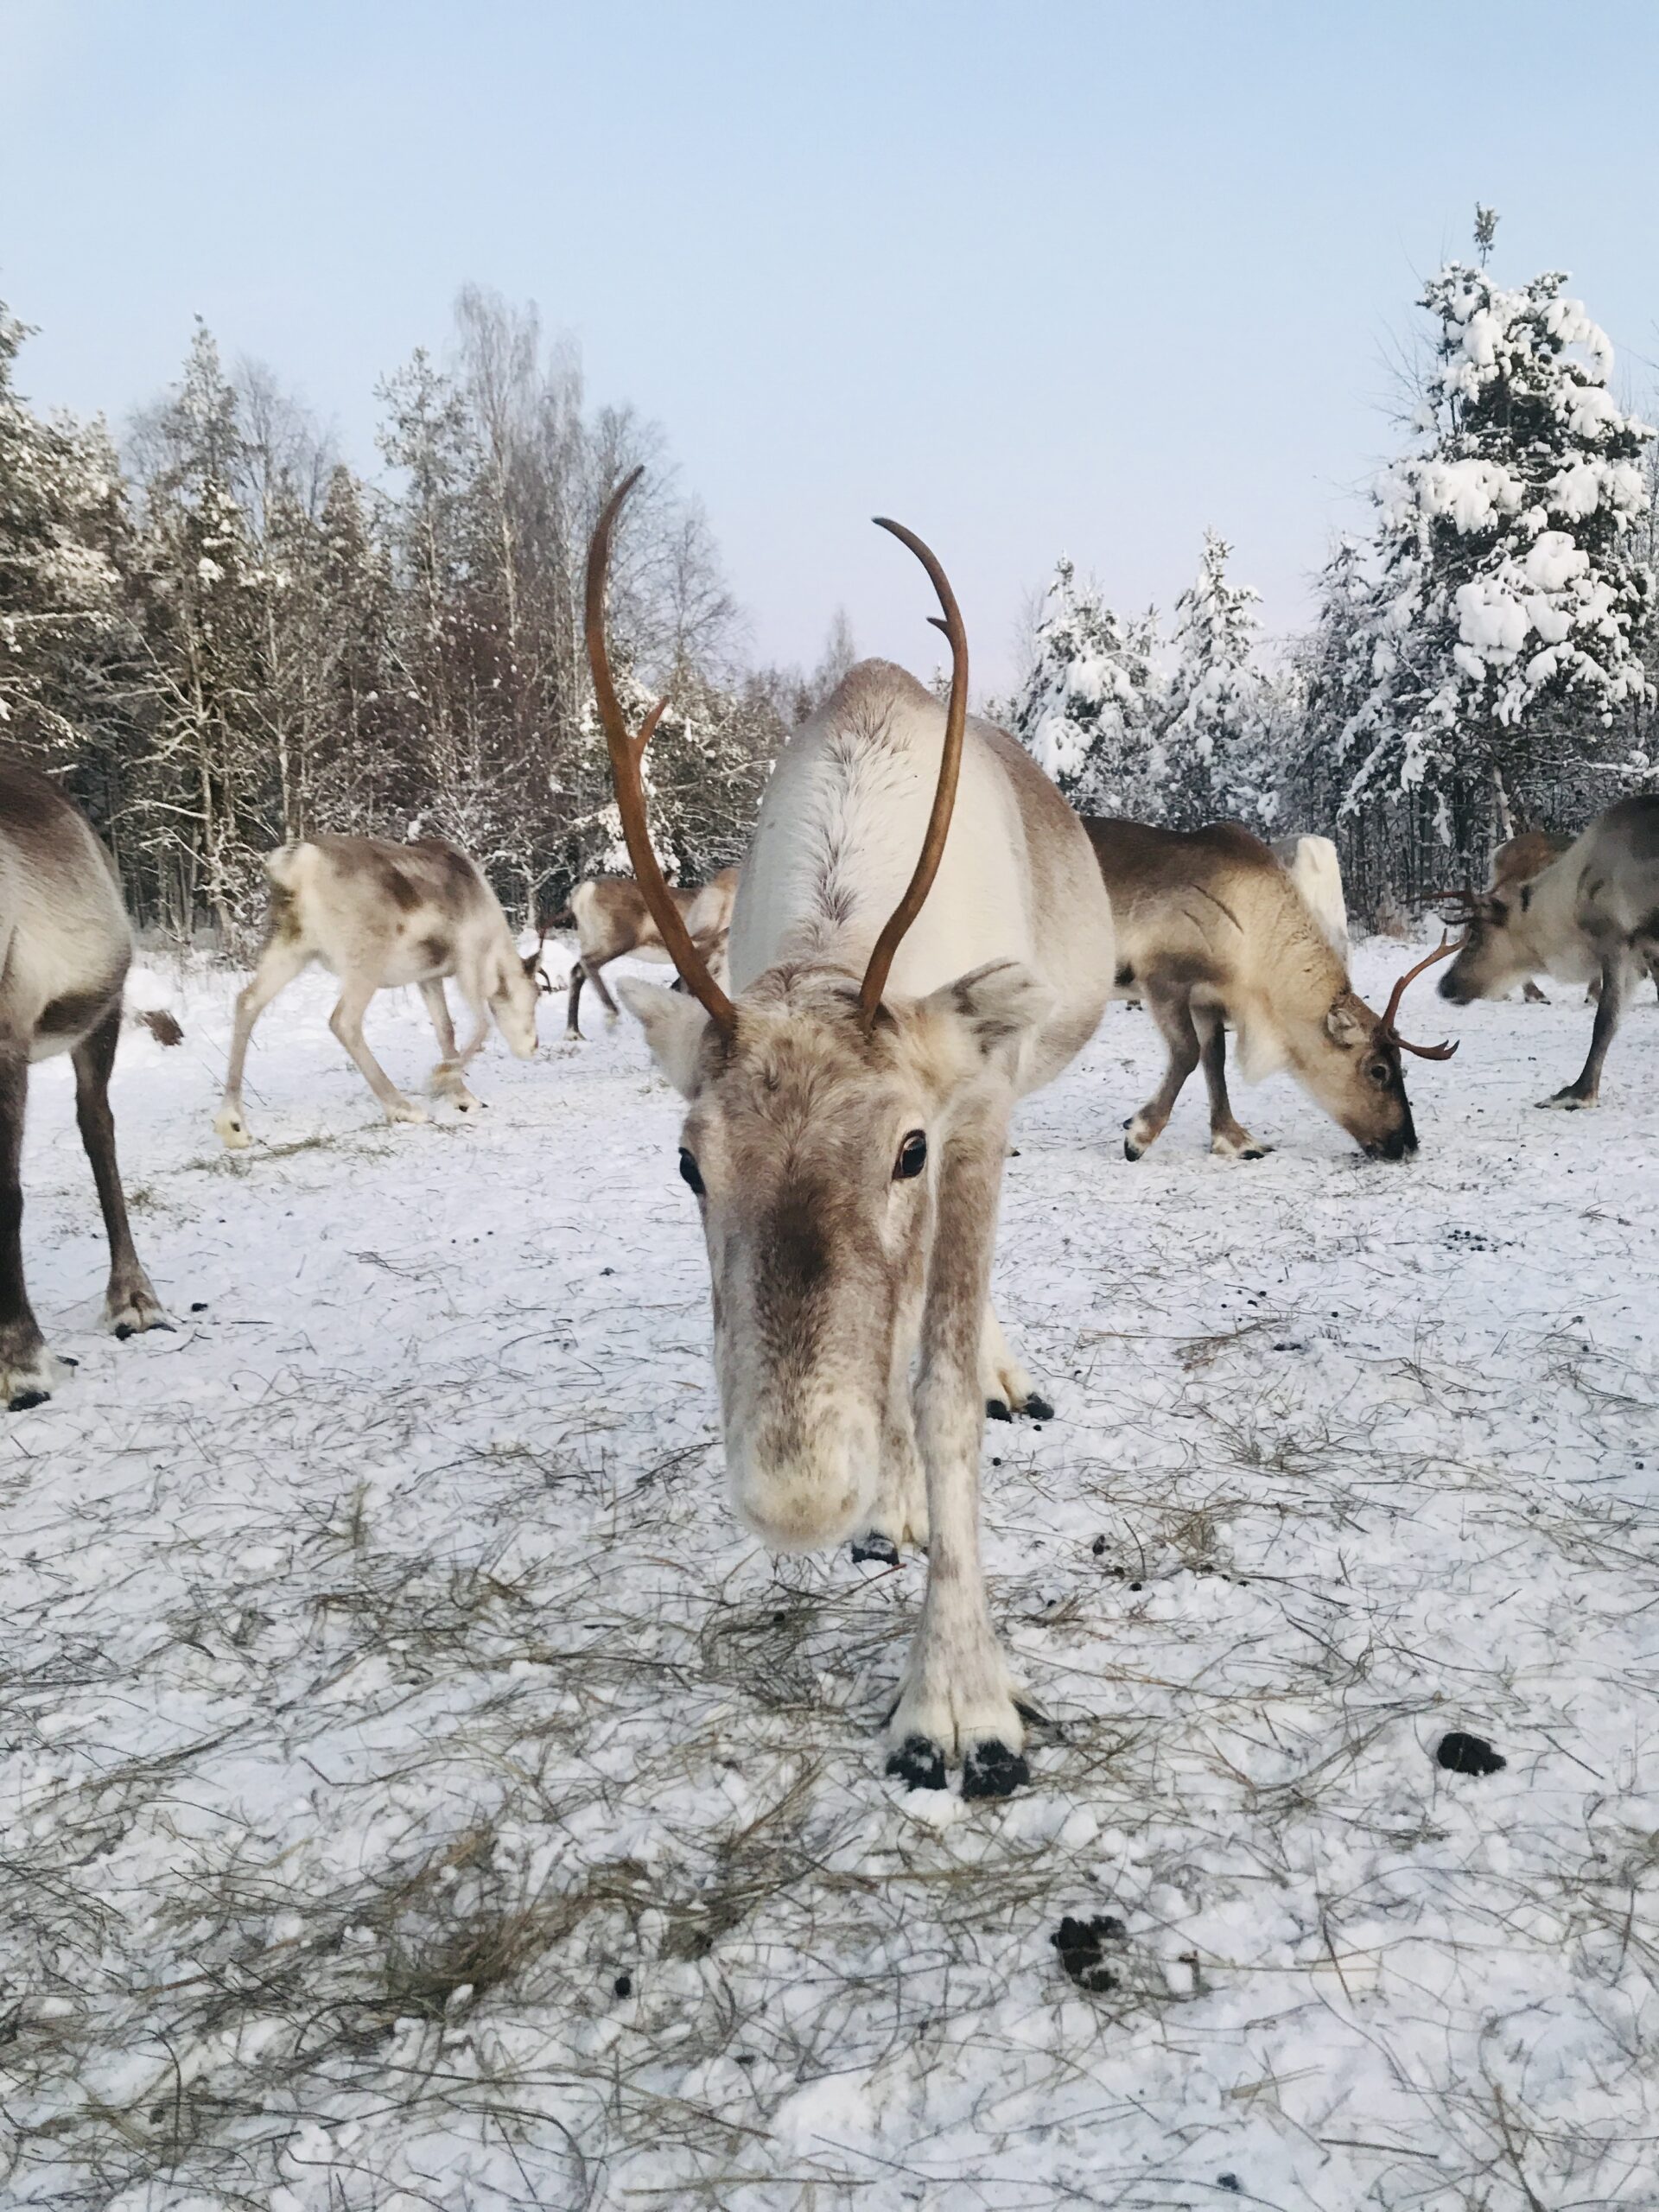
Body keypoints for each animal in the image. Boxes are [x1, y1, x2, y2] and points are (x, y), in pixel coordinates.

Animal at [214, 834, 542, 1149]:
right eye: (537, 992)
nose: (533, 1046)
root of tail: (297, 865)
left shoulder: (428, 977)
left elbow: (445, 1030)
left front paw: (463, 1097)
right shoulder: (469, 963)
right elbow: (483, 1025)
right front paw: (440, 1078)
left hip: (292, 949)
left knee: (247, 1002)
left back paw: (234, 1126)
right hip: (364, 964)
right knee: (343, 1021)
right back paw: (403, 1107)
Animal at [562, 867, 739, 1039]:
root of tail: (584, 890)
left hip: (590, 941)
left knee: (577, 971)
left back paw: (574, 1032)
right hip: (617, 941)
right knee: (588, 964)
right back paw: (611, 1014)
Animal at [589, 471, 1115, 1798]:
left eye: (906, 1147)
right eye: (689, 1162)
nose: (796, 1501)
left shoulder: (976, 1113)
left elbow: (940, 1387)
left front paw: (958, 1702)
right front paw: (890, 1506)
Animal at [1085, 819, 1456, 1162]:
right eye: (1379, 1070)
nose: (1407, 1145)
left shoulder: (1207, 998)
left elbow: (1214, 1060)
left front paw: (1235, 1139)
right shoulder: (1163, 977)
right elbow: (1188, 1053)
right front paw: (1139, 1135)